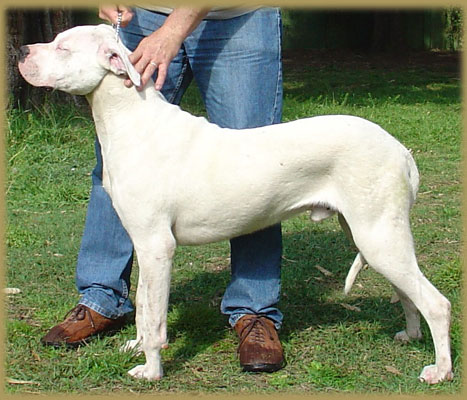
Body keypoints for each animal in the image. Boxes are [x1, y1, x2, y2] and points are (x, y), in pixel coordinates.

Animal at [18, 25, 454, 384]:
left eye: (63, 47)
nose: (21, 50)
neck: (131, 120)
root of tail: (401, 150)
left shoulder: (158, 247)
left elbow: (155, 317)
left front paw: (151, 369)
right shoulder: (143, 244)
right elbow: (142, 306)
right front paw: (136, 346)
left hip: (379, 237)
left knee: (436, 303)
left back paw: (440, 371)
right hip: (373, 236)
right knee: (408, 294)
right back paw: (410, 335)